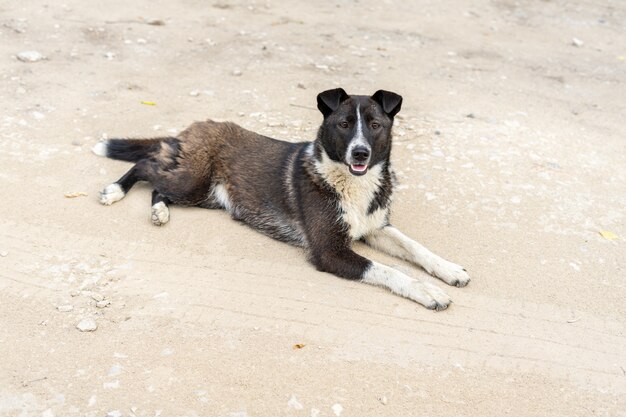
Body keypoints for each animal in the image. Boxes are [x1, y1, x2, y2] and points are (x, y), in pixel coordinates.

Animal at [92, 88, 468, 308]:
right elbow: (389, 270)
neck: (349, 181)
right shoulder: (330, 251)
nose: (360, 153)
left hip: (203, 193)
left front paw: (449, 269)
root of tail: (195, 126)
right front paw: (427, 290)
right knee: (146, 166)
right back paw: (114, 191)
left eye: (374, 124)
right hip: (191, 181)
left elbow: (415, 248)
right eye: (344, 124)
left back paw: (160, 212)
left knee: (159, 186)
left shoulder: (375, 227)